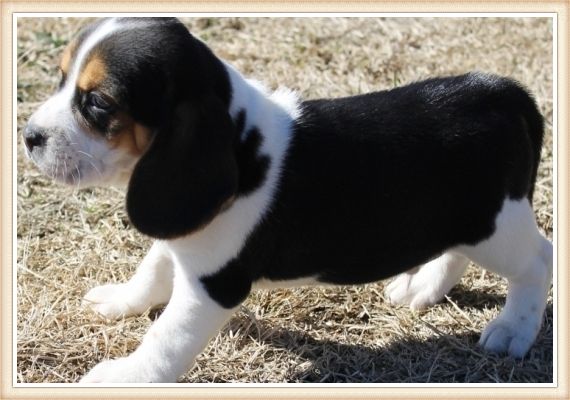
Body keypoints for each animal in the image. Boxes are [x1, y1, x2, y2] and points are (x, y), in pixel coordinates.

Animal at [23, 17, 552, 382]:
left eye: (97, 103)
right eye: (61, 79)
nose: (29, 136)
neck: (240, 137)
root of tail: (501, 91)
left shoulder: (212, 286)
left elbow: (165, 339)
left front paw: (125, 376)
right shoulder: (183, 236)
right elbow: (153, 266)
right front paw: (123, 299)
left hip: (497, 226)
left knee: (538, 261)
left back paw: (513, 329)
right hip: (466, 220)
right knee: (457, 252)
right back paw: (424, 287)